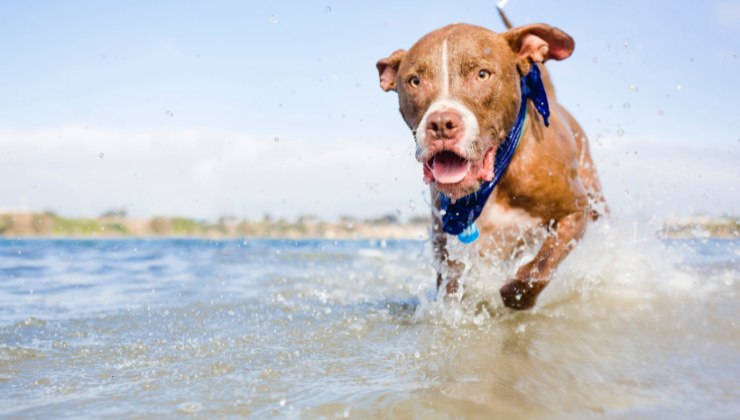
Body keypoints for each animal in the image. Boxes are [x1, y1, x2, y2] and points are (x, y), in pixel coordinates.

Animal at [376, 11, 608, 310]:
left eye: (482, 74)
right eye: (415, 81)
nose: (441, 124)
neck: (498, 173)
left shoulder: (575, 210)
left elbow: (542, 265)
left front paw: (516, 294)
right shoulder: (446, 246)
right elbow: (450, 288)